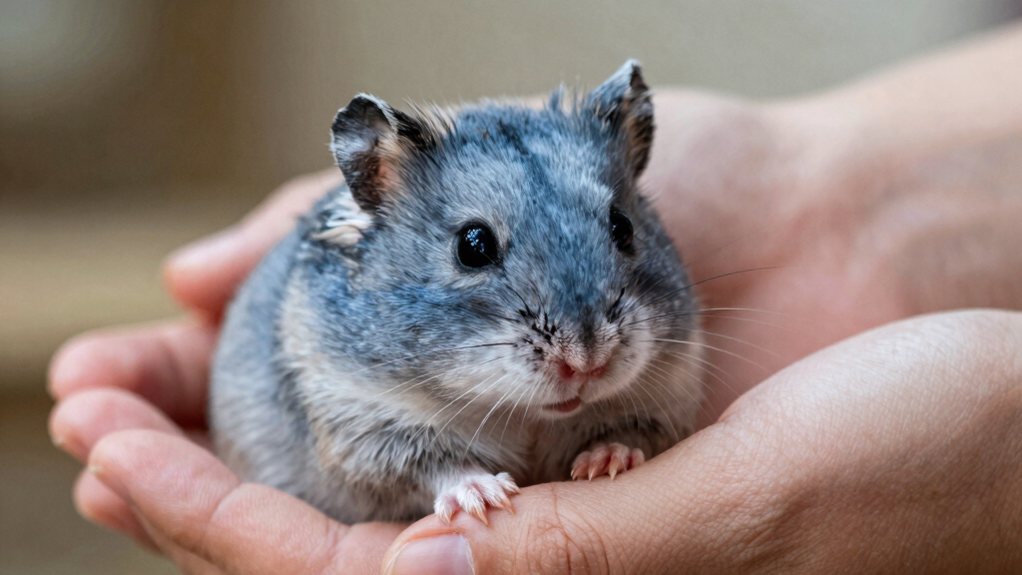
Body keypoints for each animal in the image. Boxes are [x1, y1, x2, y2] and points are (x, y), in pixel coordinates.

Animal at [210, 60, 704, 525]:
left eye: (623, 227)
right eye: (473, 245)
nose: (587, 363)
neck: (528, 413)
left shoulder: (670, 395)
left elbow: (629, 432)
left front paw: (605, 462)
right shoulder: (361, 424)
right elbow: (435, 466)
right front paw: (487, 497)